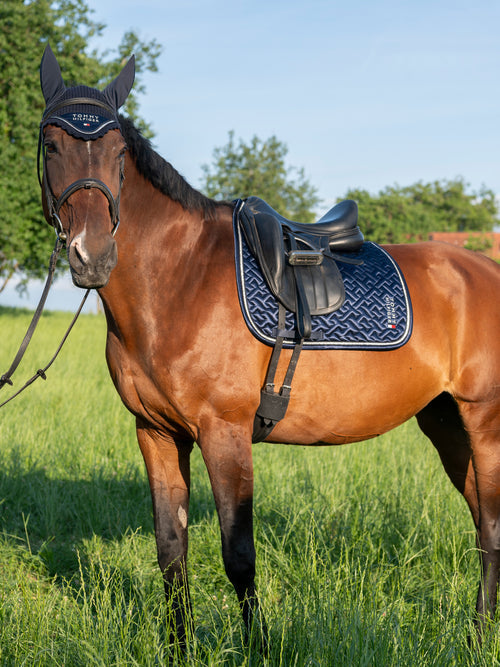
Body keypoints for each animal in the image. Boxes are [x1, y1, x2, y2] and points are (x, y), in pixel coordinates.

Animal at [38, 45, 500, 648]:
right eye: (51, 145)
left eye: (118, 152)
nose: (91, 256)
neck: (178, 279)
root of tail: (485, 269)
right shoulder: (156, 434)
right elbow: (171, 549)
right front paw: (180, 648)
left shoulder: (225, 432)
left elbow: (239, 557)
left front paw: (257, 646)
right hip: (446, 424)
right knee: (481, 521)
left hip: (484, 421)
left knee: (491, 526)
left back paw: (479, 635)